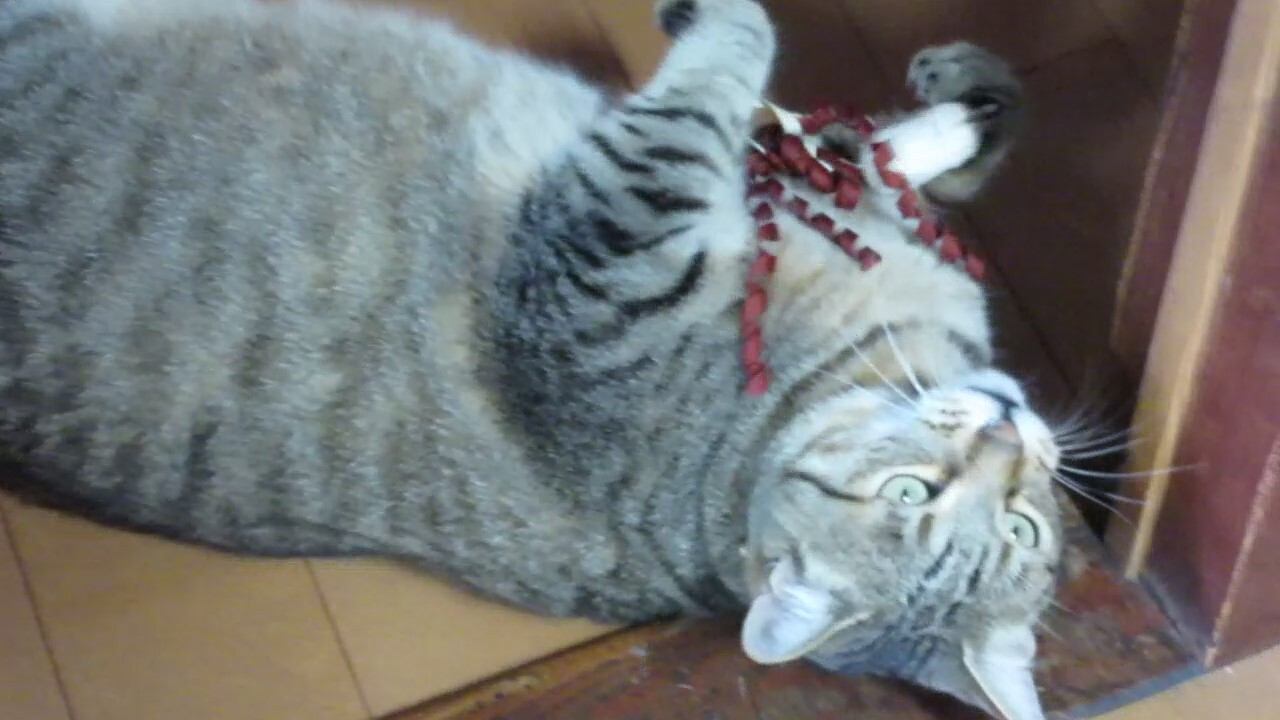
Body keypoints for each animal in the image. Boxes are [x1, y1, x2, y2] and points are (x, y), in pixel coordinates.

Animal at [0, 0, 1058, 718]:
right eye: (915, 494)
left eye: (1010, 524)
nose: (1011, 433)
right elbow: (851, 149)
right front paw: (967, 106)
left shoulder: (602, 241)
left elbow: (738, 76)